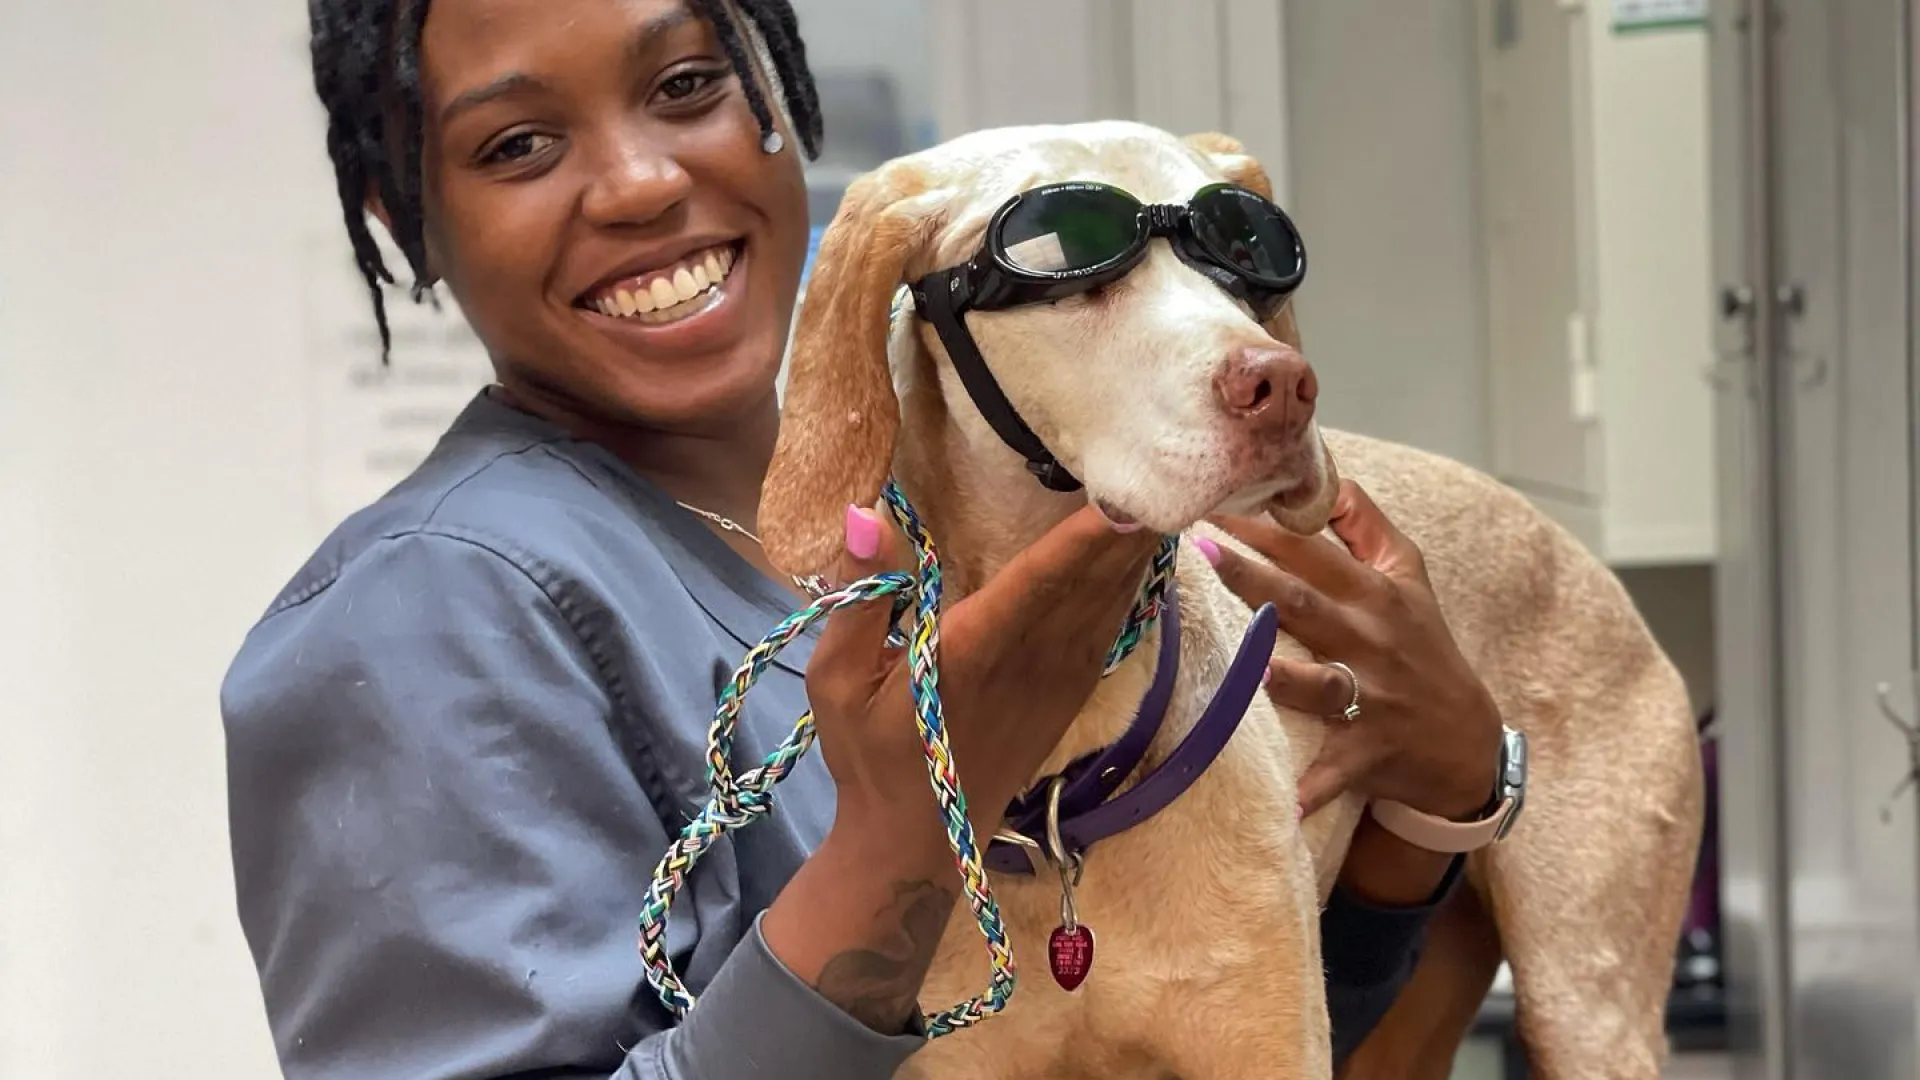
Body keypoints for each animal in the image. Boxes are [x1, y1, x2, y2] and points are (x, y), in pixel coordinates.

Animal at [756, 122, 1704, 1076]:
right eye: (1061, 252)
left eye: (1248, 251)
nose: (1281, 384)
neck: (1065, 802)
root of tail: (1582, 557)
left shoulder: (1271, 1044)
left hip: (1586, 1004)